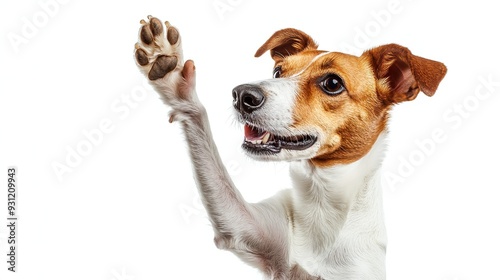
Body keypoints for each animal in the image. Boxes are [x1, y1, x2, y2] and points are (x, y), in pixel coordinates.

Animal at [135, 15, 448, 280]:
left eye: (332, 83)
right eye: (277, 72)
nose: (242, 95)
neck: (322, 201)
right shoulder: (245, 228)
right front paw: (169, 71)